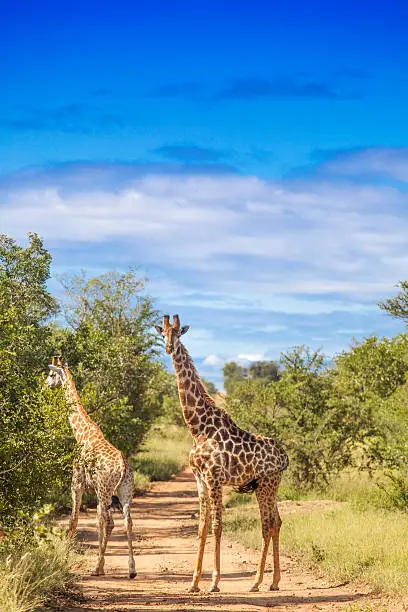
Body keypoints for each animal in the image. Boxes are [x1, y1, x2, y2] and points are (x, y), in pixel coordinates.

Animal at [45, 356, 136, 576]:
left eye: (51, 374)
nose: (45, 385)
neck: (81, 434)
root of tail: (123, 468)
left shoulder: (76, 484)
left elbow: (73, 520)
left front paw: (65, 558)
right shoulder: (93, 489)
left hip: (105, 492)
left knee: (109, 522)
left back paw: (97, 568)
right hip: (124, 492)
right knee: (127, 522)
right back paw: (131, 569)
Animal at [155, 316, 288, 592]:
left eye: (178, 334)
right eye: (162, 334)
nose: (169, 348)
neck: (198, 428)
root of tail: (285, 458)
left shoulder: (214, 478)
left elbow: (217, 526)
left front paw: (214, 582)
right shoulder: (199, 480)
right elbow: (202, 527)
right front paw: (194, 582)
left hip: (266, 485)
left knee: (268, 524)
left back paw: (257, 582)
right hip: (268, 486)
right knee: (276, 522)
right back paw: (273, 582)